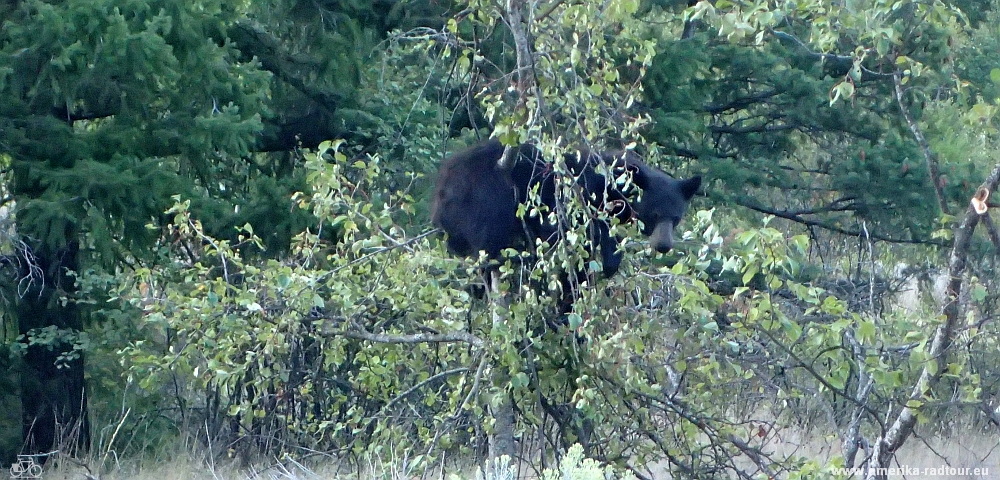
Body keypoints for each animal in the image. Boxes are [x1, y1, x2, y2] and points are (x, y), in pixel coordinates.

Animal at [432, 137, 704, 280]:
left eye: (676, 217)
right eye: (655, 214)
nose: (664, 245)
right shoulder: (584, 196)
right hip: (486, 198)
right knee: (490, 239)